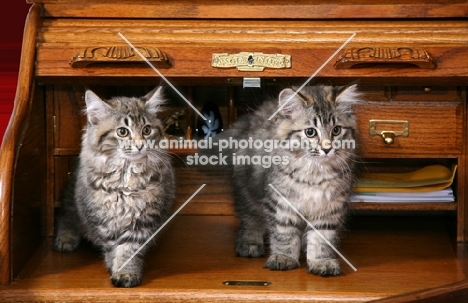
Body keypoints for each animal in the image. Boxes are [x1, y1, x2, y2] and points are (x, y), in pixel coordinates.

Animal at [53, 87, 174, 288]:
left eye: (147, 130)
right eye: (123, 132)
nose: (140, 145)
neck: (126, 177)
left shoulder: (143, 220)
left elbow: (128, 250)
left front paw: (126, 273)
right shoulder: (103, 220)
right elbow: (113, 247)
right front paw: (115, 267)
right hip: (72, 199)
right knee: (66, 215)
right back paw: (65, 239)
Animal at [219, 84, 358, 276]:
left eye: (336, 130)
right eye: (310, 132)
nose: (327, 148)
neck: (314, 174)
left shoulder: (329, 208)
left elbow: (321, 239)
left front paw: (321, 262)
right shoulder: (281, 203)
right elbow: (284, 234)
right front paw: (284, 258)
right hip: (247, 192)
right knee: (250, 219)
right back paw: (250, 244)